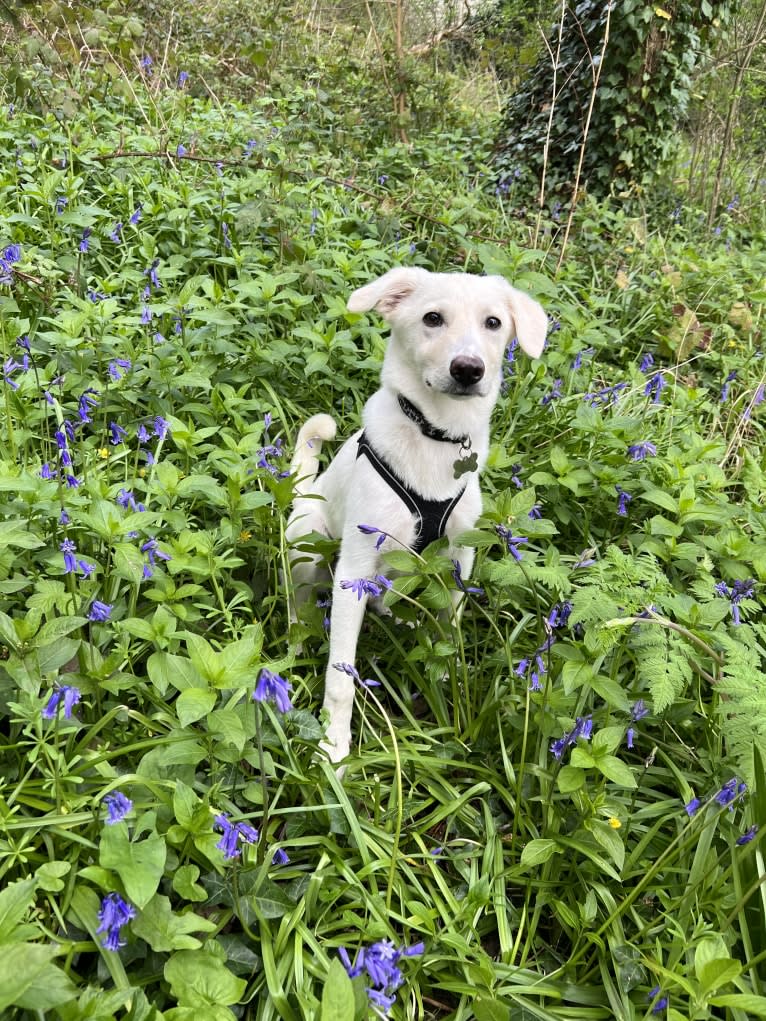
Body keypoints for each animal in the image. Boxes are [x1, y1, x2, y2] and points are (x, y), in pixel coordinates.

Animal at [285, 267, 547, 763]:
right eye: (432, 318)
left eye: (493, 323)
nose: (468, 368)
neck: (437, 435)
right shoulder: (354, 571)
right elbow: (340, 676)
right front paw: (333, 747)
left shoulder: (461, 556)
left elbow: (449, 627)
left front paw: (445, 680)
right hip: (308, 545)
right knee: (299, 604)